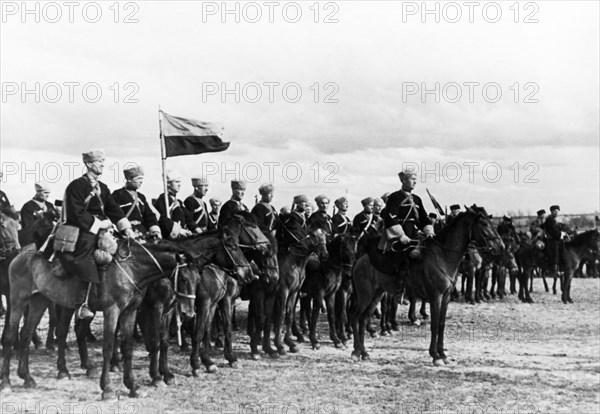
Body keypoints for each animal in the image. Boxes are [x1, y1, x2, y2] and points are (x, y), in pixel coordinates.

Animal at [350, 205, 504, 364]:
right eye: (484, 223)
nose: (501, 246)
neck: (443, 256)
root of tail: (360, 259)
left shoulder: (446, 298)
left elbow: (441, 324)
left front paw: (442, 354)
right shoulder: (435, 297)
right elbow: (434, 325)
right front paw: (435, 355)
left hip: (377, 295)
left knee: (363, 319)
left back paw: (364, 352)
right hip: (365, 295)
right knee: (355, 317)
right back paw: (356, 352)